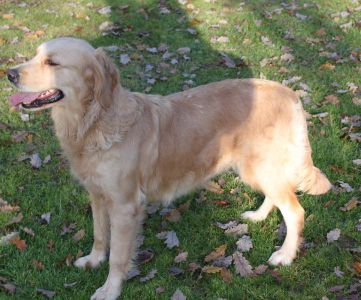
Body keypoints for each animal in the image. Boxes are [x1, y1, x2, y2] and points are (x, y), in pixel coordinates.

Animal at [7, 38, 330, 300]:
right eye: (35, 55)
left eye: (52, 62)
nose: (9, 74)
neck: (95, 121)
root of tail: (289, 92)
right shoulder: (97, 195)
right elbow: (99, 235)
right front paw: (93, 260)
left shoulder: (126, 206)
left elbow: (119, 257)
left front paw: (110, 289)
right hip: (256, 168)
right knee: (277, 196)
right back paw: (258, 216)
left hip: (260, 166)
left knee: (295, 211)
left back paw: (285, 255)